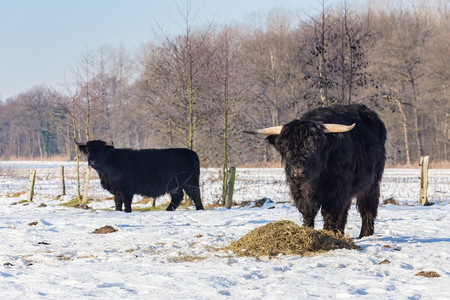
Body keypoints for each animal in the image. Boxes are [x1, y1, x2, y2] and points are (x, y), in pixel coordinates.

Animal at [246, 104, 386, 238]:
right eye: (285, 146)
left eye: (315, 147)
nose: (298, 171)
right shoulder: (298, 188)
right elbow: (308, 211)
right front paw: (308, 231)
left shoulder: (336, 189)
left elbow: (329, 212)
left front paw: (328, 233)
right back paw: (340, 232)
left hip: (371, 184)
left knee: (367, 207)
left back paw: (365, 234)